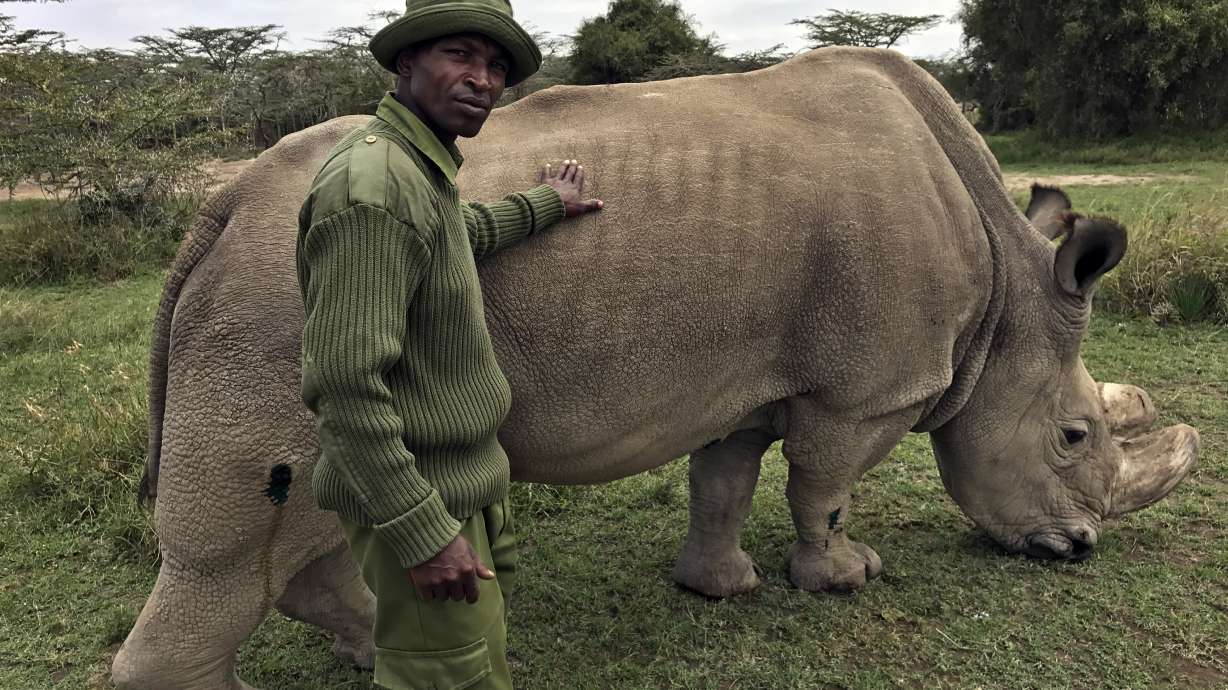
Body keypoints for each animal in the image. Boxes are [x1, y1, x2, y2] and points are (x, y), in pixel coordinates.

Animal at [113, 48, 1199, 690]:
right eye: (1073, 436)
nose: (1077, 549)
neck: (1009, 300)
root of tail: (221, 207)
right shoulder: (867, 389)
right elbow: (825, 487)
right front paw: (845, 578)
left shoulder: (750, 373)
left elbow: (723, 479)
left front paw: (720, 588)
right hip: (274, 308)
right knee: (241, 538)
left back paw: (378, 639)